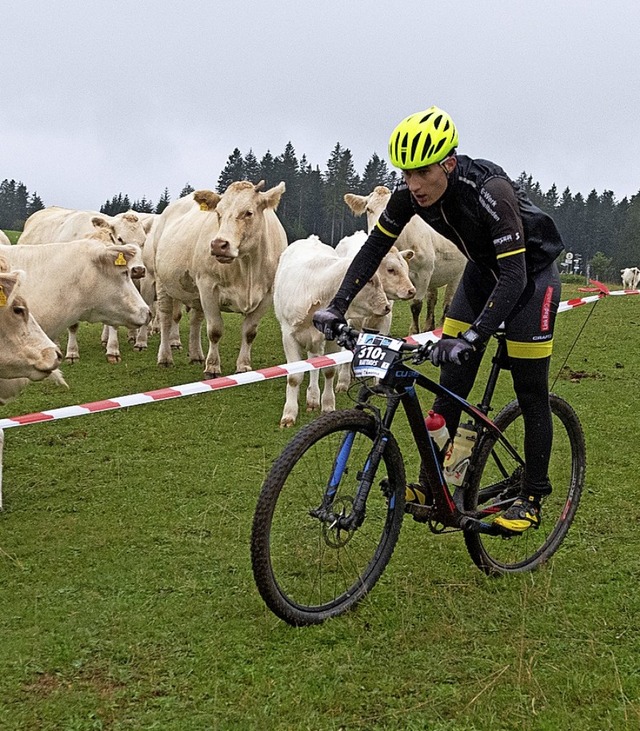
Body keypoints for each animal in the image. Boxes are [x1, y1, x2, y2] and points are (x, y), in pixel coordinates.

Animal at [153, 182, 288, 378]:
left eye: (248, 212)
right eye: (218, 213)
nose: (218, 245)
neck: (247, 266)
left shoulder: (268, 294)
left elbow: (249, 332)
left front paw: (243, 365)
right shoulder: (208, 287)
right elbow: (215, 330)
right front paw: (212, 367)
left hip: (195, 292)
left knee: (195, 320)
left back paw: (196, 355)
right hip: (162, 282)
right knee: (165, 317)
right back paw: (165, 358)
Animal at [274, 234, 390, 428]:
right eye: (370, 280)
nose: (387, 306)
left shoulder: (331, 338)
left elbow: (328, 370)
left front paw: (328, 405)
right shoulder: (288, 335)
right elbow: (294, 377)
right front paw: (289, 414)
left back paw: (313, 397)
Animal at [344, 184, 464, 334]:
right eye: (368, 209)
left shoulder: (423, 273)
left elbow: (416, 305)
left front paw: (413, 331)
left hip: (458, 273)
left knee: (448, 303)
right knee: (432, 298)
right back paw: (429, 327)